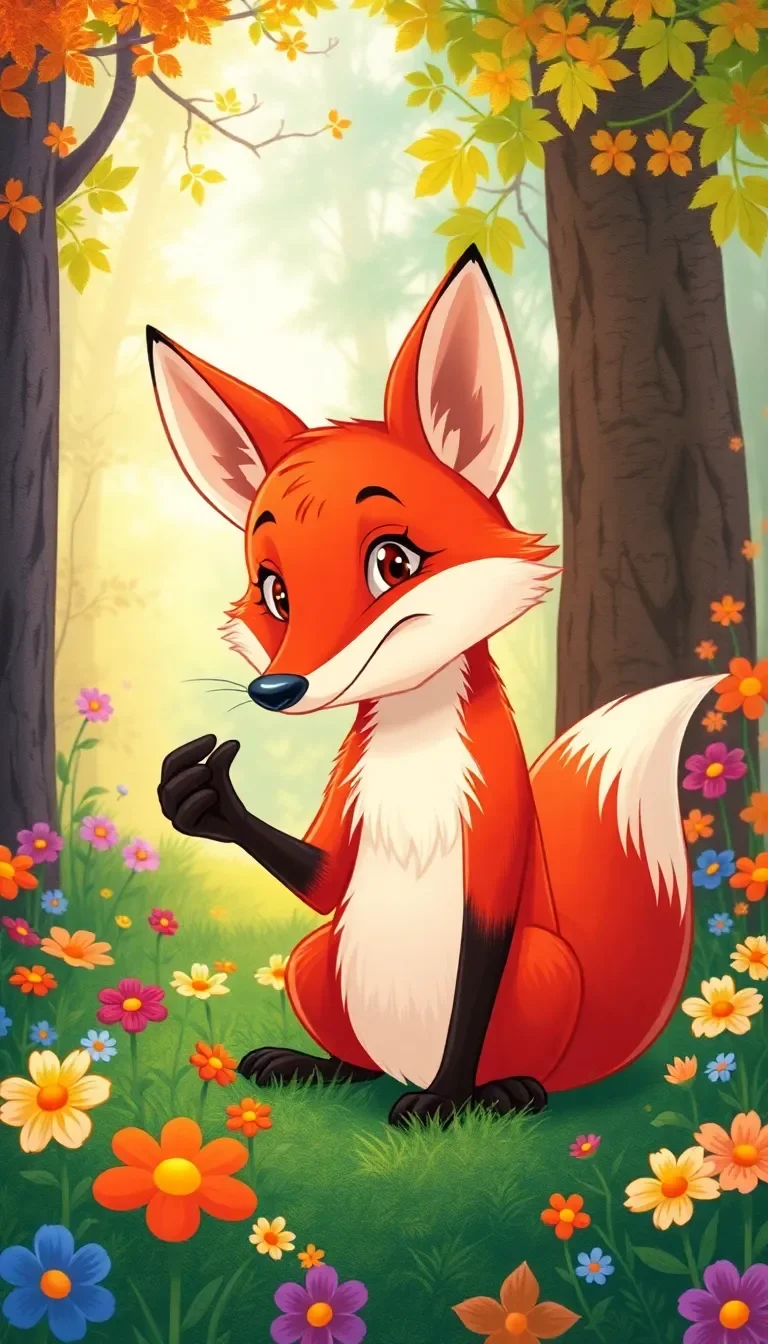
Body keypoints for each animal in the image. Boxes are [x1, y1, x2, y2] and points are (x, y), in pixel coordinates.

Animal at [148, 244, 717, 1127]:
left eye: (394, 561)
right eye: (275, 593)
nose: (276, 690)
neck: (412, 748)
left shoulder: (494, 845)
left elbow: (471, 989)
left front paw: (448, 1103)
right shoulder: (342, 826)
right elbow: (323, 879)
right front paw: (200, 798)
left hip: (543, 969)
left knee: (512, 1067)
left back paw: (499, 1093)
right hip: (316, 960)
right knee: (355, 1058)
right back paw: (316, 1066)